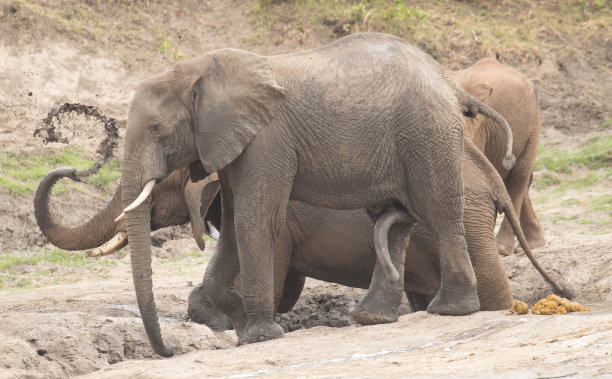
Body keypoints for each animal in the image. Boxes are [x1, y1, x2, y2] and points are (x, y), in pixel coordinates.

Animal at [62, 33, 520, 356]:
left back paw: (450, 311)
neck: (201, 70)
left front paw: (258, 333)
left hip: (427, 131)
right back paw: (370, 317)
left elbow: (255, 221)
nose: (169, 351)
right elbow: (233, 228)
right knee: (394, 219)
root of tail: (451, 83)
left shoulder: (267, 140)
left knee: (438, 210)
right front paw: (239, 319)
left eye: (157, 130)